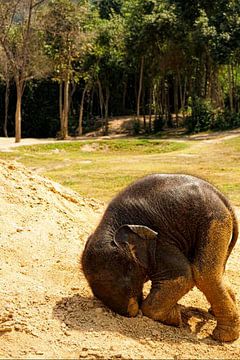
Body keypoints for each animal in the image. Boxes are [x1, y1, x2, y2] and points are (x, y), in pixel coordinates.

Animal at [81, 173, 239, 342]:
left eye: (127, 284)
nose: (133, 311)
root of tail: (222, 198)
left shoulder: (159, 239)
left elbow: (181, 277)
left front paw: (176, 318)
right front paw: (176, 315)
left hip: (214, 221)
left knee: (205, 274)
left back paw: (222, 337)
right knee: (217, 271)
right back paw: (214, 313)